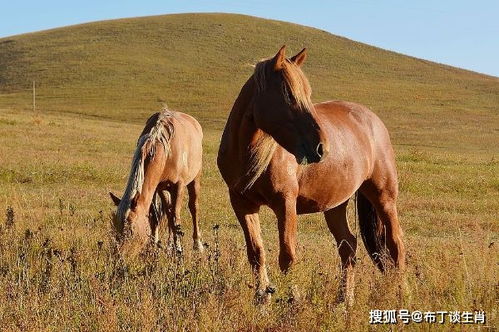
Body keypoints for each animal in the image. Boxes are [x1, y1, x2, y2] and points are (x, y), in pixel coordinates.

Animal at [110, 109, 204, 254]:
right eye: (115, 227)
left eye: (131, 230)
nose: (118, 254)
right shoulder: (156, 188)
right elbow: (155, 216)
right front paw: (154, 244)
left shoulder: (178, 186)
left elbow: (176, 218)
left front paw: (179, 249)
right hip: (164, 190)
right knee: (169, 211)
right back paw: (170, 244)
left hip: (194, 179)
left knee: (193, 208)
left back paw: (197, 244)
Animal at [219, 46, 406, 304]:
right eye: (288, 95)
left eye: (307, 94)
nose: (321, 148)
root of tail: (373, 120)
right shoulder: (242, 203)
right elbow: (256, 252)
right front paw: (262, 299)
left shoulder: (285, 203)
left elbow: (288, 255)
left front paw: (293, 299)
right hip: (335, 204)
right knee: (348, 246)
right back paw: (344, 301)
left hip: (384, 197)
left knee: (396, 245)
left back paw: (403, 296)